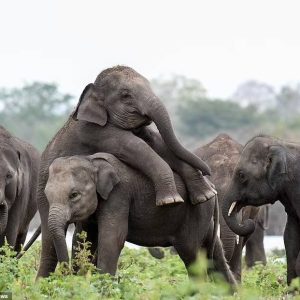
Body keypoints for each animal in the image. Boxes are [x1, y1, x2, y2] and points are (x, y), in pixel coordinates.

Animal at [35, 65, 213, 278]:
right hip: (43, 198)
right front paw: (171, 199)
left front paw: (206, 194)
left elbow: (156, 143)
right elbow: (139, 148)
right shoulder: (95, 132)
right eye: (126, 95)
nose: (209, 171)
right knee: (49, 240)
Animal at [44, 154, 237, 284]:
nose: (66, 275)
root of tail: (212, 187)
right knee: (215, 254)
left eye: (74, 195)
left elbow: (112, 238)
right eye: (46, 195)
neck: (92, 161)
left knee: (191, 254)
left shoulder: (119, 195)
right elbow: (83, 239)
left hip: (196, 212)